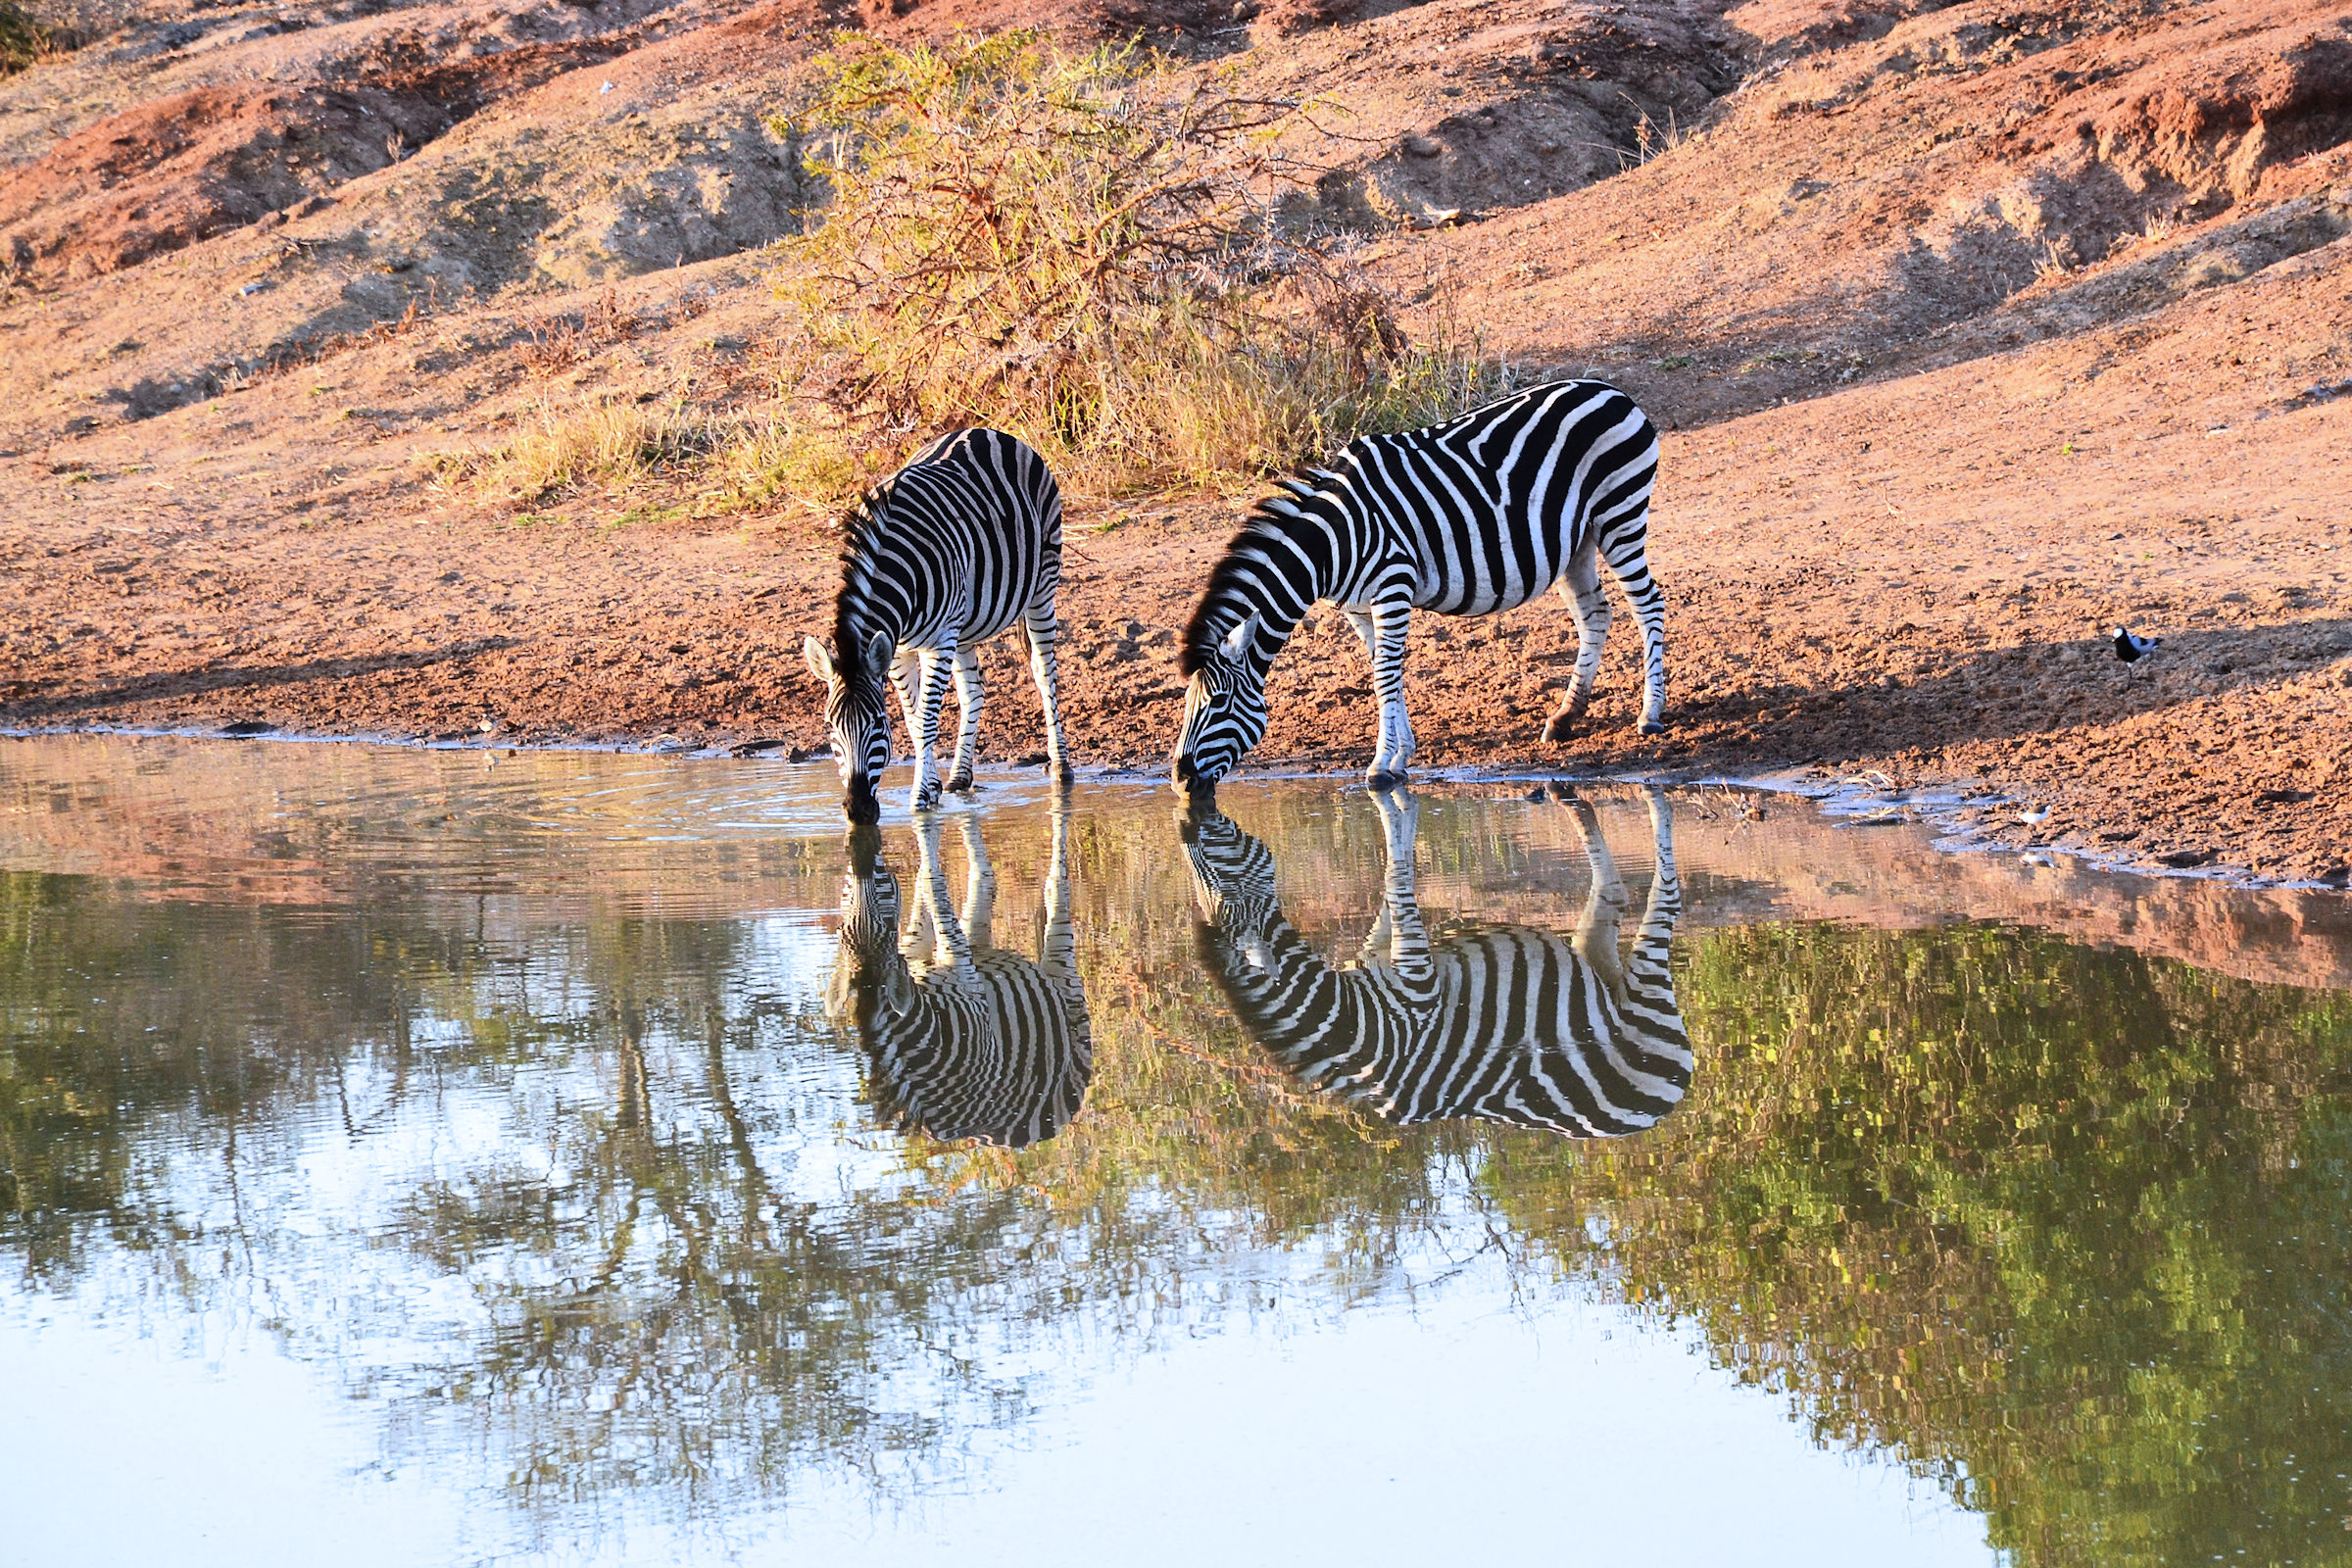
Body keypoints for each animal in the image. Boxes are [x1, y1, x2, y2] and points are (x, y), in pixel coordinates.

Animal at [802, 427, 1071, 824]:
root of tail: (986, 431)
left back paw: (1061, 766)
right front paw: (930, 789)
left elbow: (927, 720)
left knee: (1044, 673)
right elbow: (915, 722)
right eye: (829, 727)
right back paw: (960, 777)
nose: (858, 812)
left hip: (1042, 587)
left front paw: (919, 800)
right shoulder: (898, 649)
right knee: (973, 691)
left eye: (877, 725)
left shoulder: (938, 640)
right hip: (967, 621)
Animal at [827, 808, 1093, 1148]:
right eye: (842, 928)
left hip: (1065, 981)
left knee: (1055, 889)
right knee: (984, 882)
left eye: (886, 919)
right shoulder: (918, 958)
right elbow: (927, 898)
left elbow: (934, 886)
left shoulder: (966, 978)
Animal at [1172, 380, 1665, 796]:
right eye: (1188, 702)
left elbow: (1386, 675)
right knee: (1595, 614)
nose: (1179, 781)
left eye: (1219, 703)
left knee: (1648, 604)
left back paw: (1650, 716)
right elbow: (1381, 672)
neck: (1334, 544)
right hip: (1575, 541)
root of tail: (1611, 390)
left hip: (1618, 517)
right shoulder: (1356, 606)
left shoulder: (1393, 586)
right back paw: (1565, 718)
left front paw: (1381, 765)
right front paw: (1400, 755)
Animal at [1180, 785, 1688, 1140]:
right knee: (1611, 897)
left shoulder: (1418, 982)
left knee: (1666, 900)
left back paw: (1657, 810)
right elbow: (1391, 891)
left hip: (1646, 994)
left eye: (1216, 866)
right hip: (1597, 968)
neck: (1362, 1027)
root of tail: (1658, 1111)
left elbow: (1397, 882)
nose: (1190, 813)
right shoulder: (1379, 956)